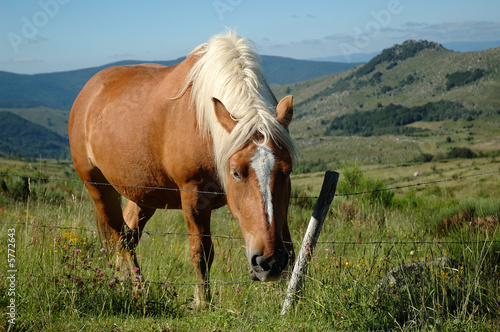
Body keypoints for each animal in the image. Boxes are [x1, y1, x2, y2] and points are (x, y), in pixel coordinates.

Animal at [69, 31, 296, 306]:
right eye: (236, 172)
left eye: (287, 171)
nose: (269, 262)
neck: (206, 127)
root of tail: (88, 93)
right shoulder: (193, 198)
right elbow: (201, 253)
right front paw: (202, 303)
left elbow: (291, 248)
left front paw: (290, 300)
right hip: (99, 189)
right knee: (121, 237)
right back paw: (136, 287)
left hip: (143, 194)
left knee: (130, 234)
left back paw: (125, 282)